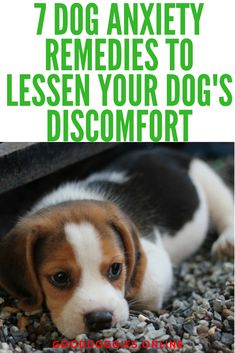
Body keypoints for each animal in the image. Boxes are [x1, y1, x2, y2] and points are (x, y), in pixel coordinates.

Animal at [0, 147, 233, 336]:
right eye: (60, 277)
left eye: (115, 269)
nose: (100, 319)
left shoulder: (153, 256)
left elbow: (144, 286)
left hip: (206, 177)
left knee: (225, 208)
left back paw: (227, 243)